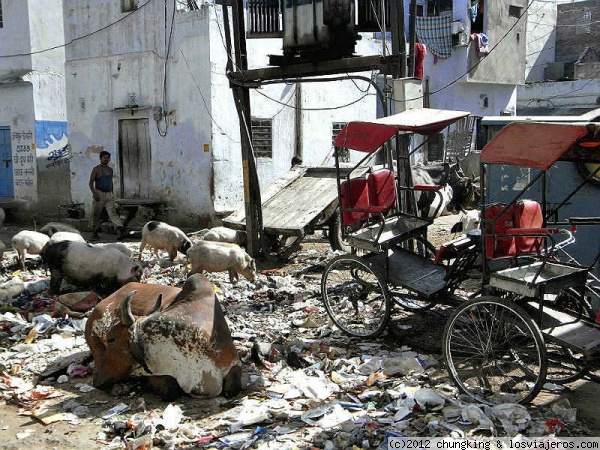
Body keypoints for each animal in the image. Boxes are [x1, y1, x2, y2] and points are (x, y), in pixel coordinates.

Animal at [84, 272, 241, 400]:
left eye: (111, 339)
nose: (97, 378)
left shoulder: (232, 361)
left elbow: (233, 388)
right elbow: (170, 389)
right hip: (94, 335)